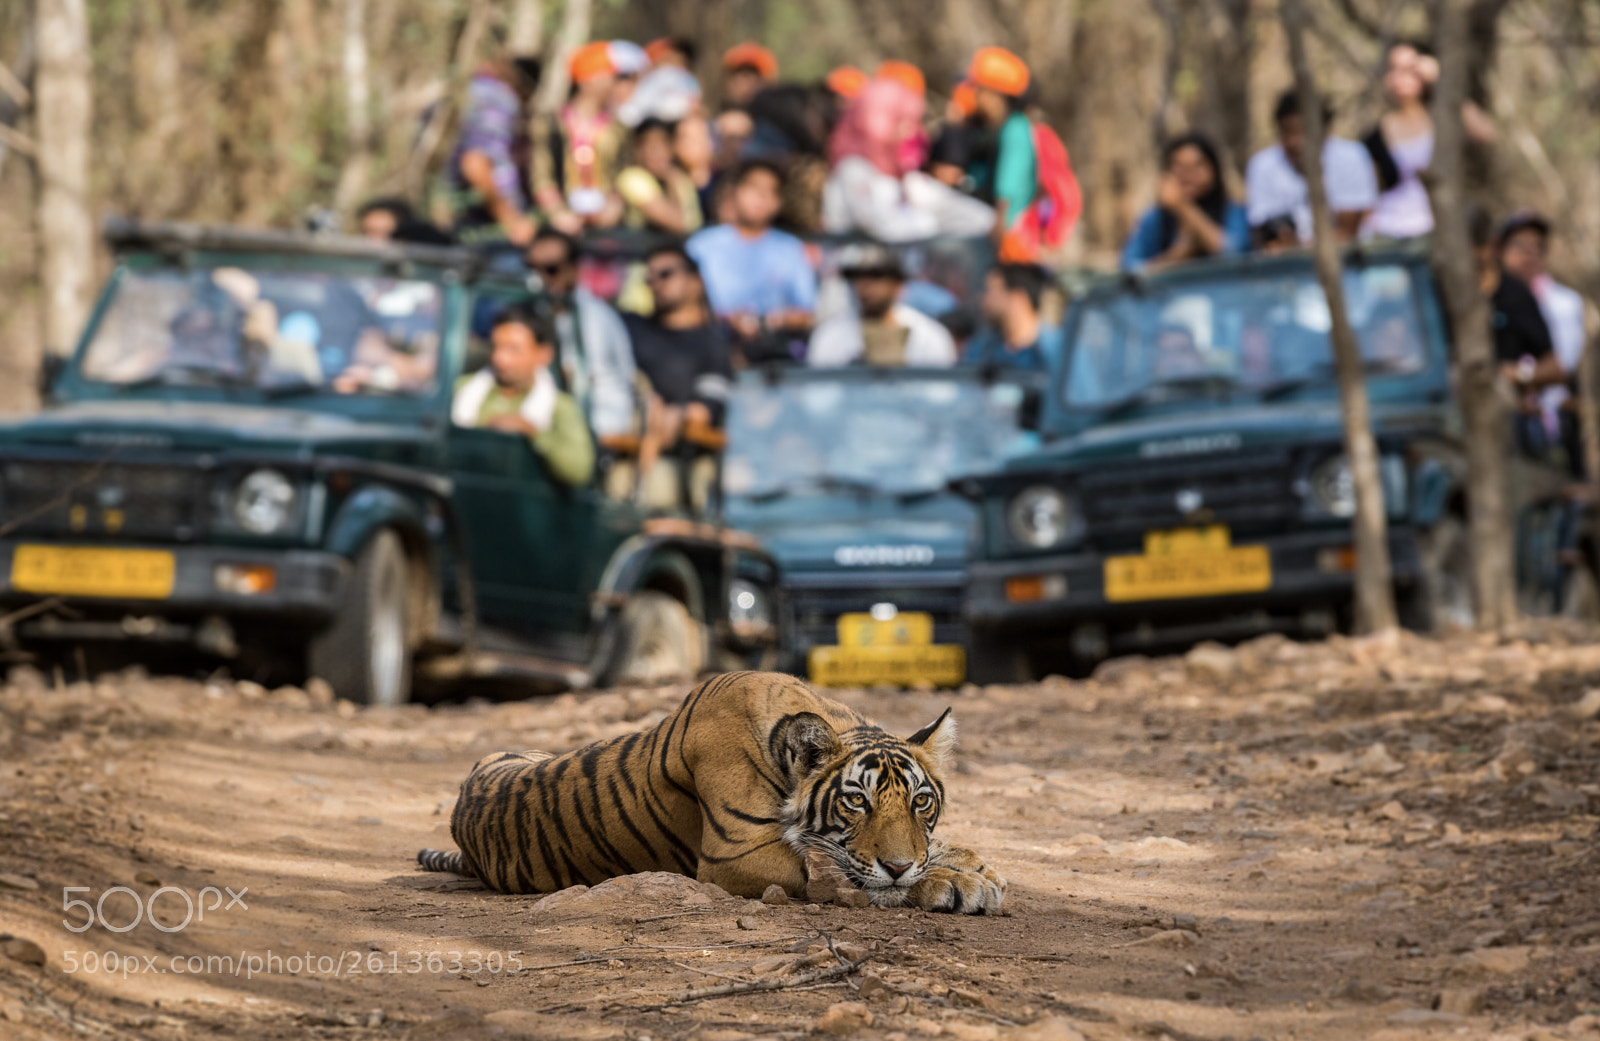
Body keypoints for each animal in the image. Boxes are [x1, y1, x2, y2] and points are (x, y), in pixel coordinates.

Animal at [416, 671, 1006, 914]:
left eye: (920, 801)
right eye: (856, 801)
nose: (899, 865)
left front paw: (975, 865)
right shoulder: (735, 854)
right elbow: (854, 876)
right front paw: (957, 884)